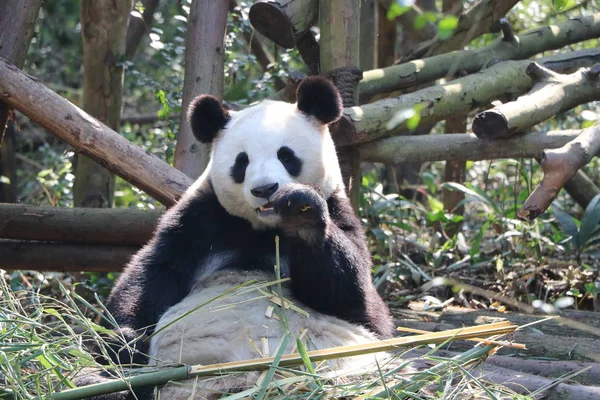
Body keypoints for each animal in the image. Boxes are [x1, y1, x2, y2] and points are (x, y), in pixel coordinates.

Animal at [86, 76, 394, 398]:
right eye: (242, 162)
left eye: (286, 155)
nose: (265, 189)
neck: (262, 229)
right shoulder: (200, 222)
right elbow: (152, 276)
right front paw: (124, 341)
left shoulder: (338, 211)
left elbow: (357, 300)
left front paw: (303, 213)